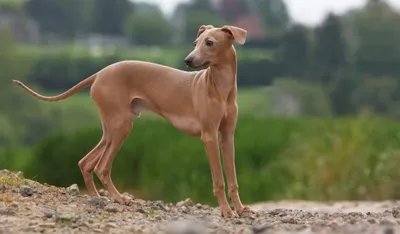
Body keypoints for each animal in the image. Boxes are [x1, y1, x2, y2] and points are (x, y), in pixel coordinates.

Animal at [14, 24, 256, 218]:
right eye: (195, 42)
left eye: (209, 42)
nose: (188, 60)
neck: (220, 89)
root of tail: (99, 73)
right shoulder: (209, 137)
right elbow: (219, 180)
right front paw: (225, 211)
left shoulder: (227, 137)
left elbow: (232, 179)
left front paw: (240, 208)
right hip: (122, 126)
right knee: (101, 167)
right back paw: (118, 198)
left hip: (111, 129)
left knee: (86, 162)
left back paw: (96, 197)